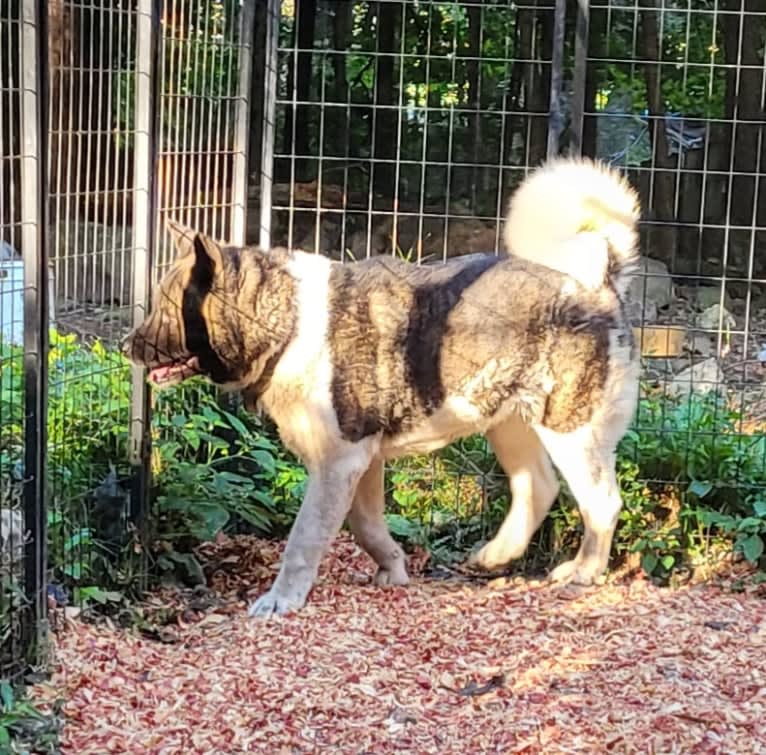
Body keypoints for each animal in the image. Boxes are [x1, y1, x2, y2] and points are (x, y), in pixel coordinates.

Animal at [123, 157, 644, 616]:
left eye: (165, 307)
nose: (128, 345)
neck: (287, 322)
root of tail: (596, 281)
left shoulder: (341, 461)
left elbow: (305, 537)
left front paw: (281, 600)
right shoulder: (362, 461)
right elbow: (366, 525)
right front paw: (392, 569)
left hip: (570, 431)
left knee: (601, 503)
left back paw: (584, 570)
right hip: (507, 422)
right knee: (537, 486)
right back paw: (495, 555)